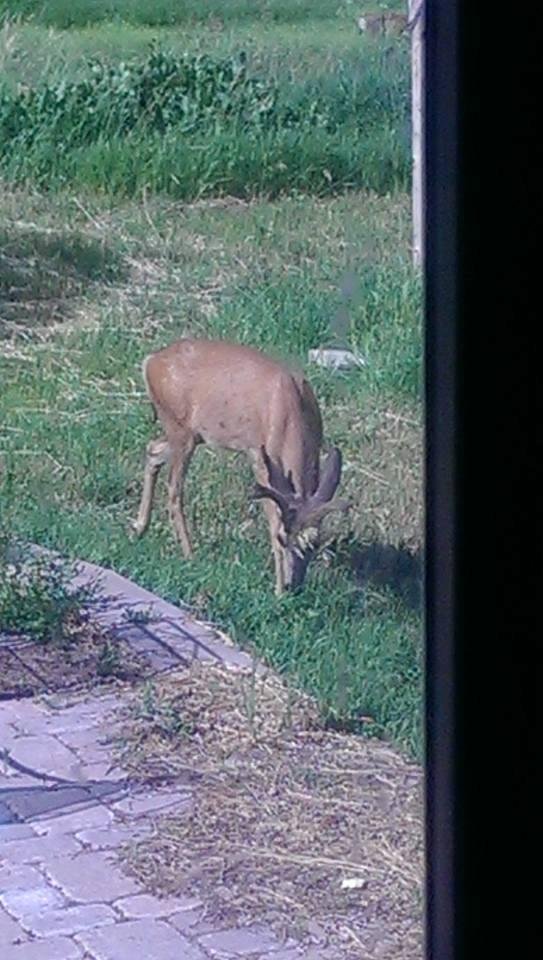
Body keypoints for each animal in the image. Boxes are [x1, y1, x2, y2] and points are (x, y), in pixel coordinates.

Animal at [131, 338, 349, 595]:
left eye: (314, 545)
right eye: (282, 539)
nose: (293, 587)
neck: (291, 411)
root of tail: (150, 361)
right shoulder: (259, 455)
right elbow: (272, 517)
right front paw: (277, 591)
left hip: (190, 434)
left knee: (152, 449)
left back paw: (139, 529)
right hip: (179, 429)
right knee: (174, 489)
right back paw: (189, 555)